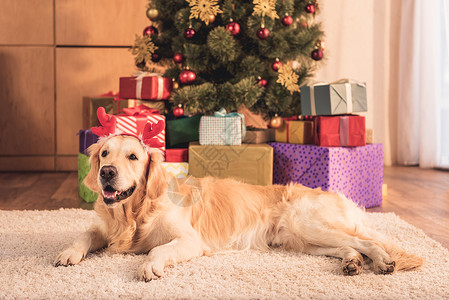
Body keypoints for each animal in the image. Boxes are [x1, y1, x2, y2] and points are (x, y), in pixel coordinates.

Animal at [54, 110, 422, 282]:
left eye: (132, 157)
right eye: (105, 154)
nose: (106, 173)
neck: (134, 213)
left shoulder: (190, 240)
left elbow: (158, 248)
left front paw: (149, 266)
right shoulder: (106, 228)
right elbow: (86, 232)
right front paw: (68, 252)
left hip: (307, 224)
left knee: (366, 241)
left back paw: (382, 261)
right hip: (300, 240)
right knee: (349, 246)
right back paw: (351, 263)